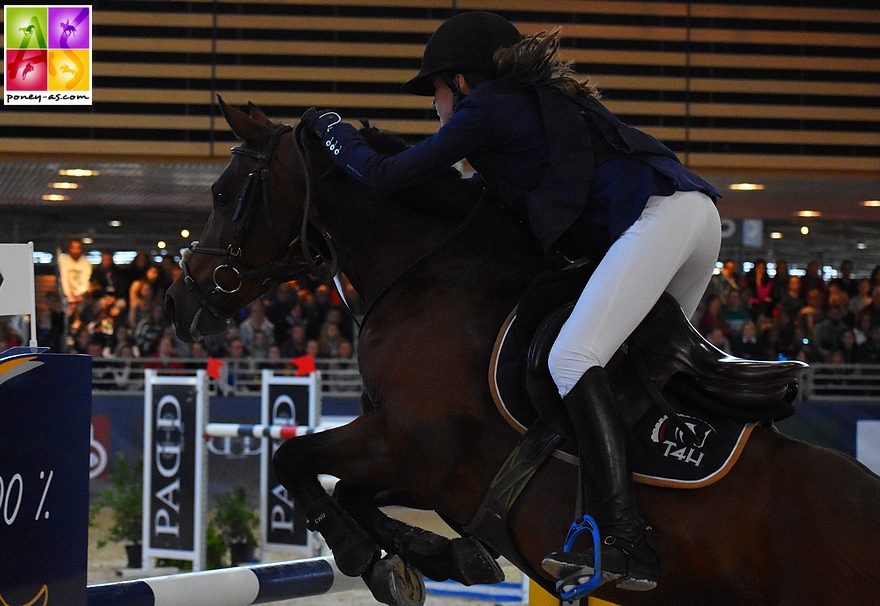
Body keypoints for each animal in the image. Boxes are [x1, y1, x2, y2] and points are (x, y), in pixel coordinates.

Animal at [167, 97, 880, 604]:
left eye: (223, 194)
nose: (178, 303)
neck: (433, 276)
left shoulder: (412, 444)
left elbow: (293, 458)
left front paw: (368, 555)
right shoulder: (428, 470)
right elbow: (352, 492)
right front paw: (424, 558)